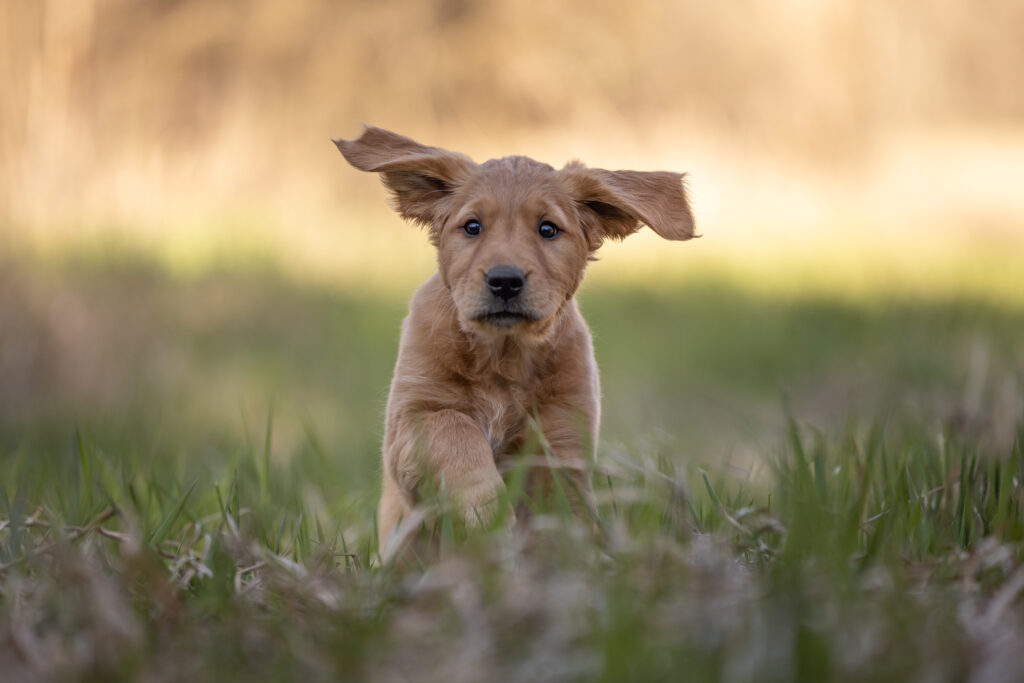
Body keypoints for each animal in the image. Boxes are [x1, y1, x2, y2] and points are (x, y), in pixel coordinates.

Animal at [335, 125, 696, 557]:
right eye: (472, 227)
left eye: (548, 229)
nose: (505, 280)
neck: (502, 355)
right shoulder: (413, 418)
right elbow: (457, 433)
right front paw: (488, 513)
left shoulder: (562, 433)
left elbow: (558, 509)